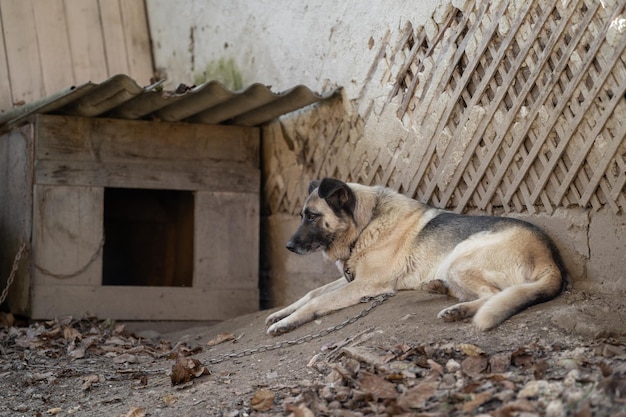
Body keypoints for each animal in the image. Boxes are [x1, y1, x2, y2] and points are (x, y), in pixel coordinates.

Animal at [264, 178, 572, 334]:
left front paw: (286, 323)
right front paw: (280, 313)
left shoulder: (365, 283)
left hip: (460, 257)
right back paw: (439, 290)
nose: (288, 246)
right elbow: (312, 293)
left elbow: (318, 301)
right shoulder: (353, 279)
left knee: (493, 295)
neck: (366, 224)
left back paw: (458, 310)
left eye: (312, 216)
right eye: (302, 215)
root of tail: (549, 258)